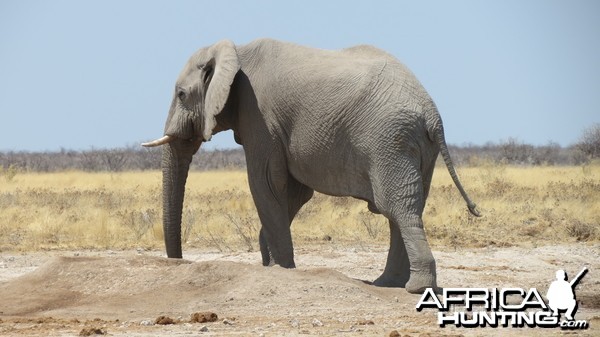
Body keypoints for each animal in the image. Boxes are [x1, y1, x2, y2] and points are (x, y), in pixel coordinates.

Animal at [143, 38, 480, 292]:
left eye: (181, 94)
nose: (179, 261)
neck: (236, 50)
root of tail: (432, 114)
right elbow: (294, 193)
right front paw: (270, 260)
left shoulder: (259, 115)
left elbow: (266, 183)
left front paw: (281, 267)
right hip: (415, 146)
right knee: (407, 207)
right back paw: (387, 284)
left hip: (389, 141)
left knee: (398, 208)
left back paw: (414, 287)